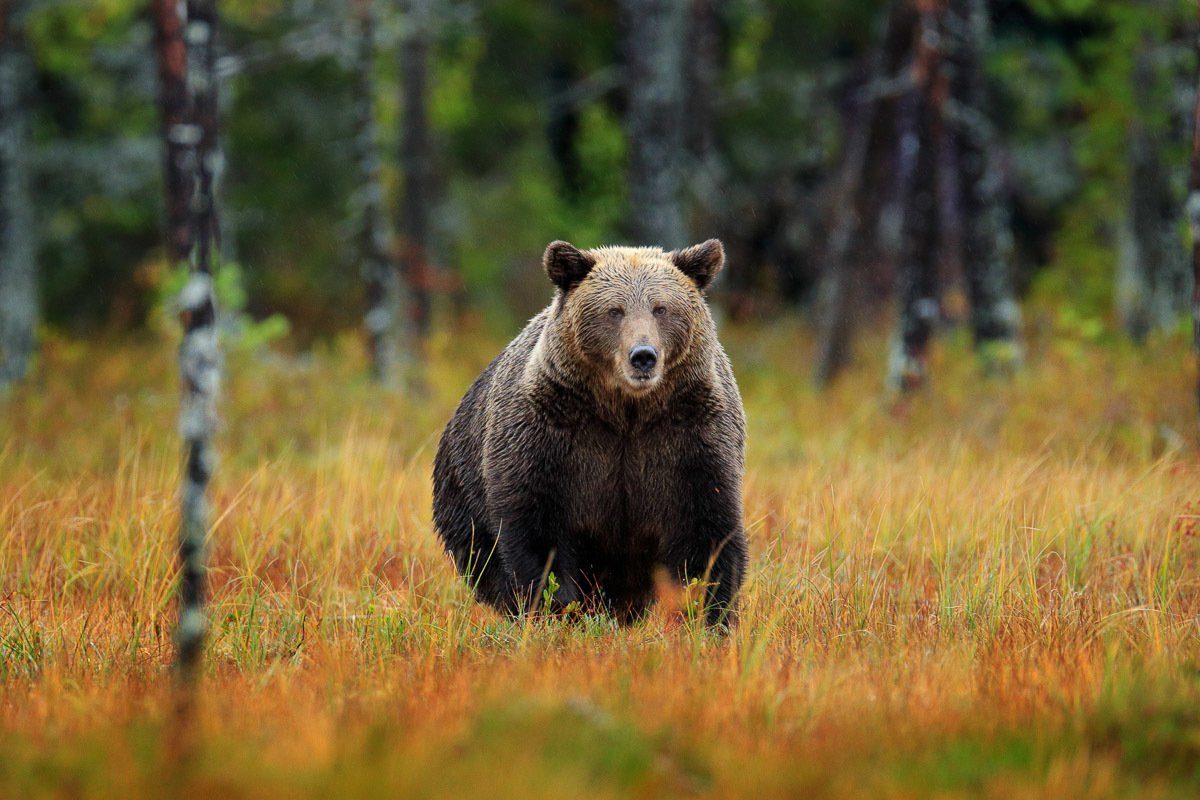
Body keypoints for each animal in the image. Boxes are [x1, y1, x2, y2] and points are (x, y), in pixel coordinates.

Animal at [432, 237, 748, 623]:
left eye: (661, 308)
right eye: (615, 310)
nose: (643, 355)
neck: (627, 411)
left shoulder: (689, 434)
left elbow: (706, 530)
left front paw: (708, 613)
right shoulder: (550, 433)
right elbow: (539, 528)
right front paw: (558, 608)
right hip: (462, 492)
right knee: (484, 559)